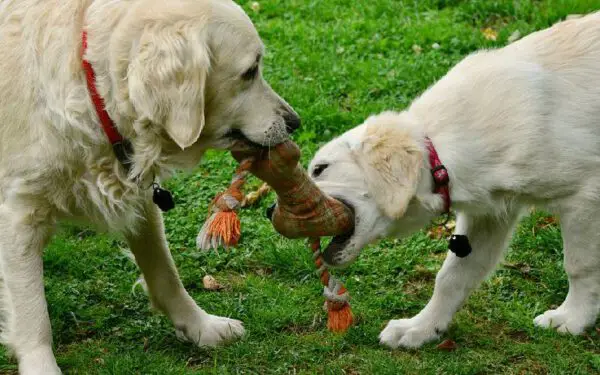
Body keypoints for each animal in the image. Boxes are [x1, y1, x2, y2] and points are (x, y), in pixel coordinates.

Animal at [0, 1, 300, 374]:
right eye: (250, 71)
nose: (295, 122)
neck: (92, 87)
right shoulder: (20, 215)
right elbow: (32, 312)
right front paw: (41, 364)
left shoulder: (140, 197)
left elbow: (165, 273)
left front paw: (202, 326)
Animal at [310, 13, 600, 352]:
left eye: (320, 169)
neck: (441, 151)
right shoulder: (489, 214)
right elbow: (452, 276)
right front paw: (421, 328)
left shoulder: (585, 197)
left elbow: (579, 265)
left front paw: (573, 319)